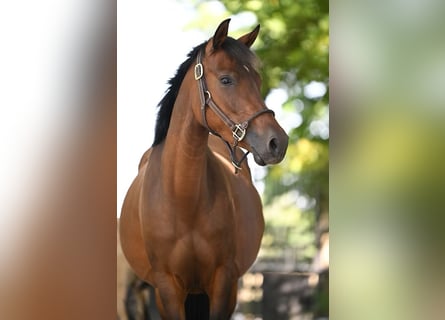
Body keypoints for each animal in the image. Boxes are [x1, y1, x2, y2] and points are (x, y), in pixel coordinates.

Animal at [119, 18, 288, 318]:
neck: (184, 199)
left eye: (258, 81)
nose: (277, 142)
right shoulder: (167, 287)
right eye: (226, 79)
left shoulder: (223, 282)